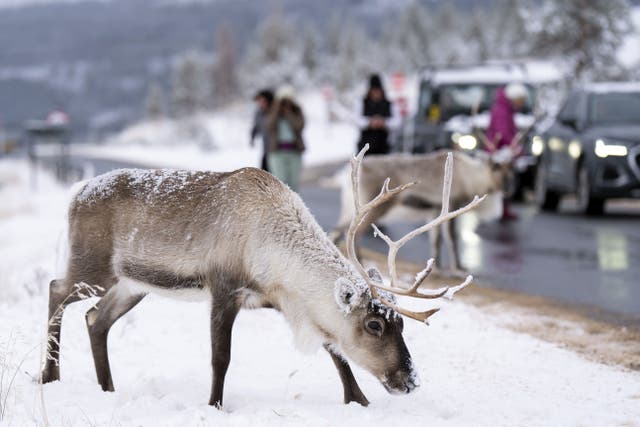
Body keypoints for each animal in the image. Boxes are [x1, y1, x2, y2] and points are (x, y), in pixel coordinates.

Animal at [41, 145, 484, 408]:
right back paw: (50, 376)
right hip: (92, 266)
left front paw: (359, 401)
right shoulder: (224, 288)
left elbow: (335, 351)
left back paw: (107, 388)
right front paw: (215, 405)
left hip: (133, 285)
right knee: (55, 290)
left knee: (95, 319)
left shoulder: (284, 301)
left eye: (401, 325)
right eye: (374, 324)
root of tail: (76, 191)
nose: (409, 380)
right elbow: (220, 357)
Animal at [332, 150, 506, 276]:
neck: (471, 177)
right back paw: (359, 263)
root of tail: (344, 176)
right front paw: (458, 269)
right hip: (373, 209)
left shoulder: (434, 211)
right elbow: (452, 239)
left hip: (351, 209)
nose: (508, 189)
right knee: (353, 233)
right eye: (497, 170)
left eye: (510, 170)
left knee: (338, 231)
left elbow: (436, 240)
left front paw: (437, 268)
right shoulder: (453, 205)